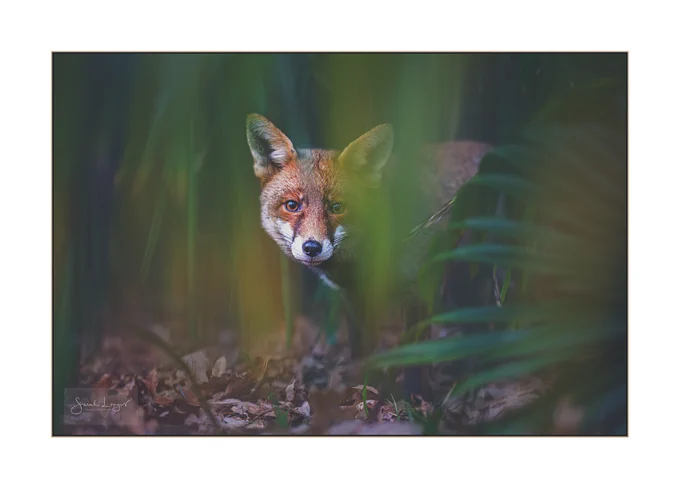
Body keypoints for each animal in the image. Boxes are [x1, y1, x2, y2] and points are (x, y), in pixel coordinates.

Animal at [246, 113, 494, 395]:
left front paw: (412, 397)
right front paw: (364, 390)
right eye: (292, 205)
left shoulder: (418, 288)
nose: (312, 247)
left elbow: (413, 355)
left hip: (464, 282)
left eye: (337, 207)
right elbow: (362, 351)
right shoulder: (354, 296)